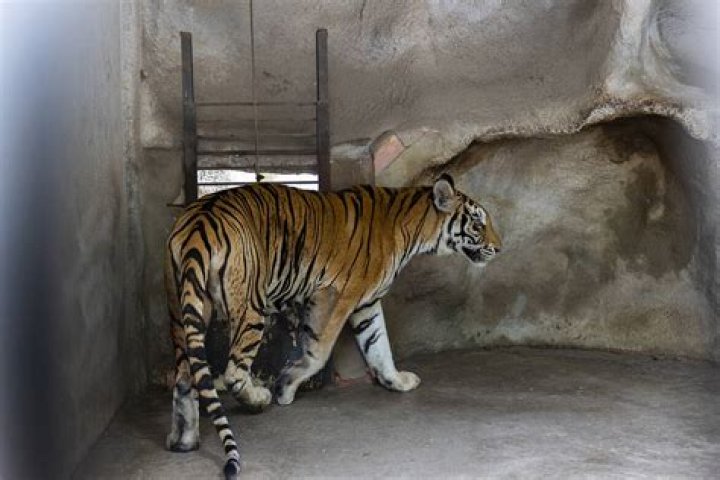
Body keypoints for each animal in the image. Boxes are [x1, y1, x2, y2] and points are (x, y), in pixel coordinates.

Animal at [164, 174, 501, 478]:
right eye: (477, 223)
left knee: (184, 378)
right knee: (233, 372)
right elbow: (319, 350)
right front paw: (285, 387)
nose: (499, 248)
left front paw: (396, 381)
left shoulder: (367, 304)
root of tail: (198, 222)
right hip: (250, 306)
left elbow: (379, 346)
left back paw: (184, 441)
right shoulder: (336, 295)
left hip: (184, 311)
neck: (413, 227)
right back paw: (259, 398)